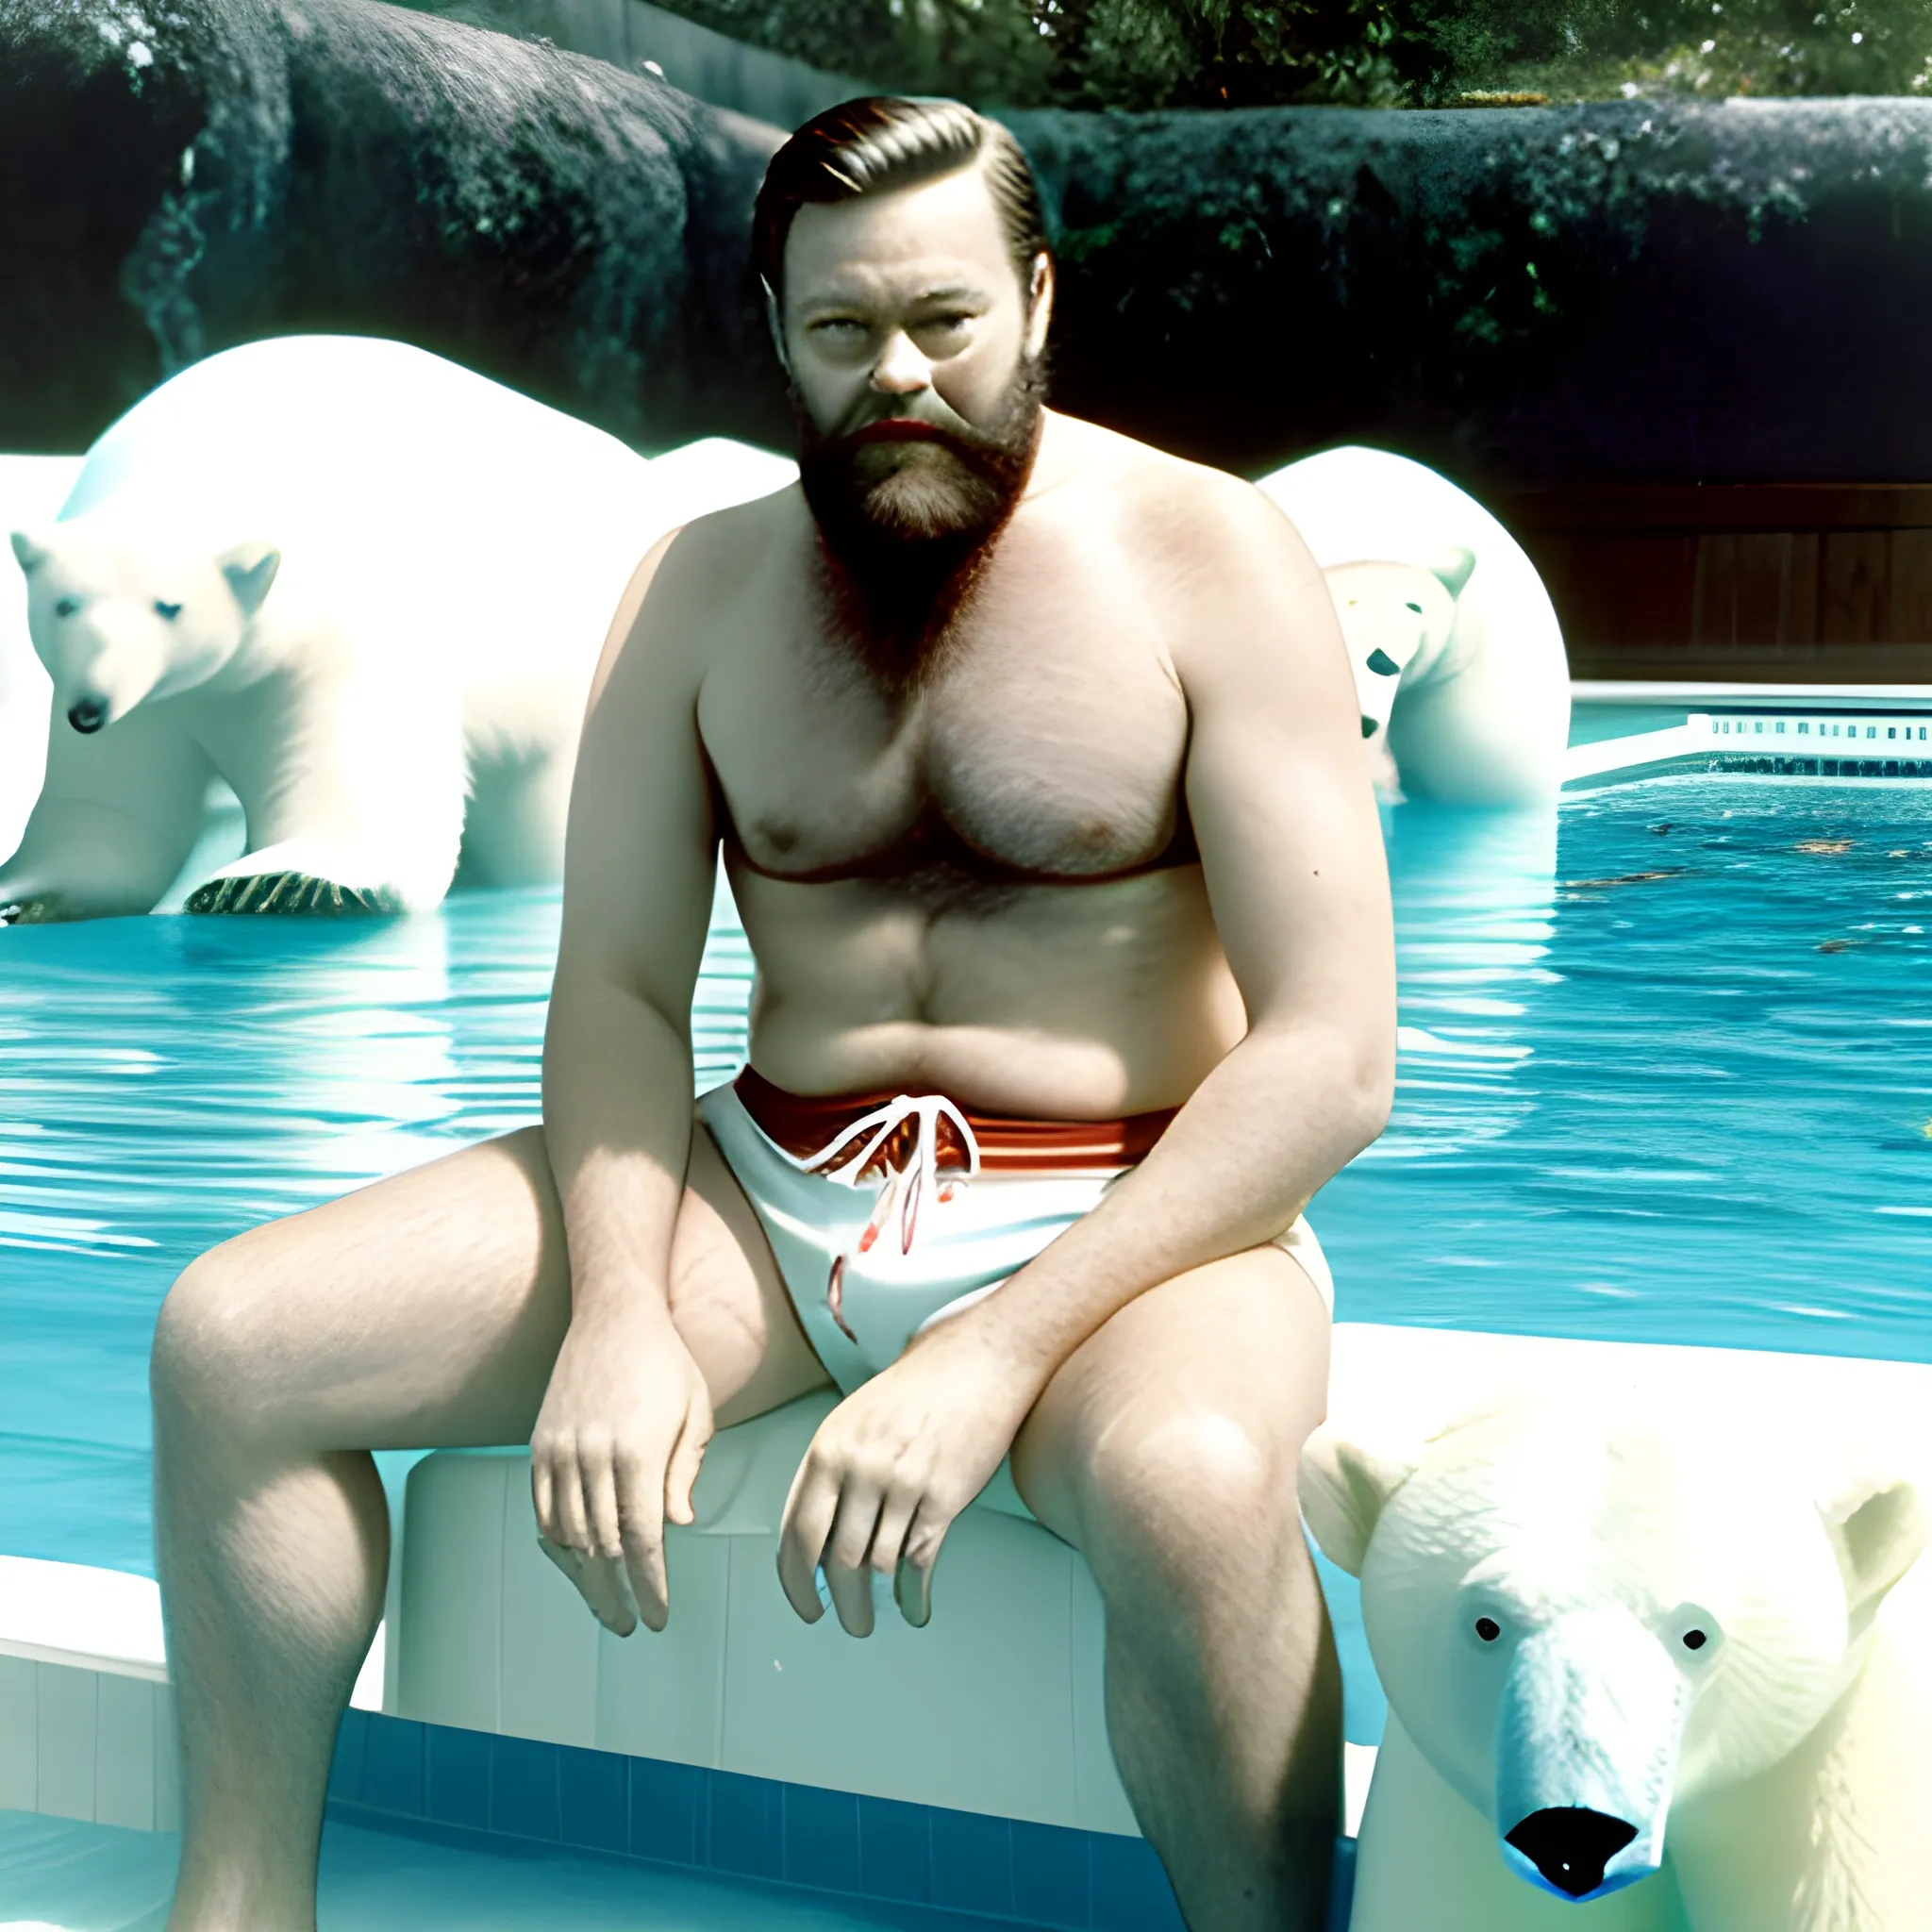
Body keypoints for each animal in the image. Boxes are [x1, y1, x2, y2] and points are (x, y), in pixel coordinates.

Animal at [2, 336, 799, 923]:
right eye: (64, 605)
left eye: (170, 606)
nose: (91, 708)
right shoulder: (146, 695)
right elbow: (113, 805)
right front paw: (24, 895)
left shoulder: (349, 623)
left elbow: (354, 767)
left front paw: (281, 882)